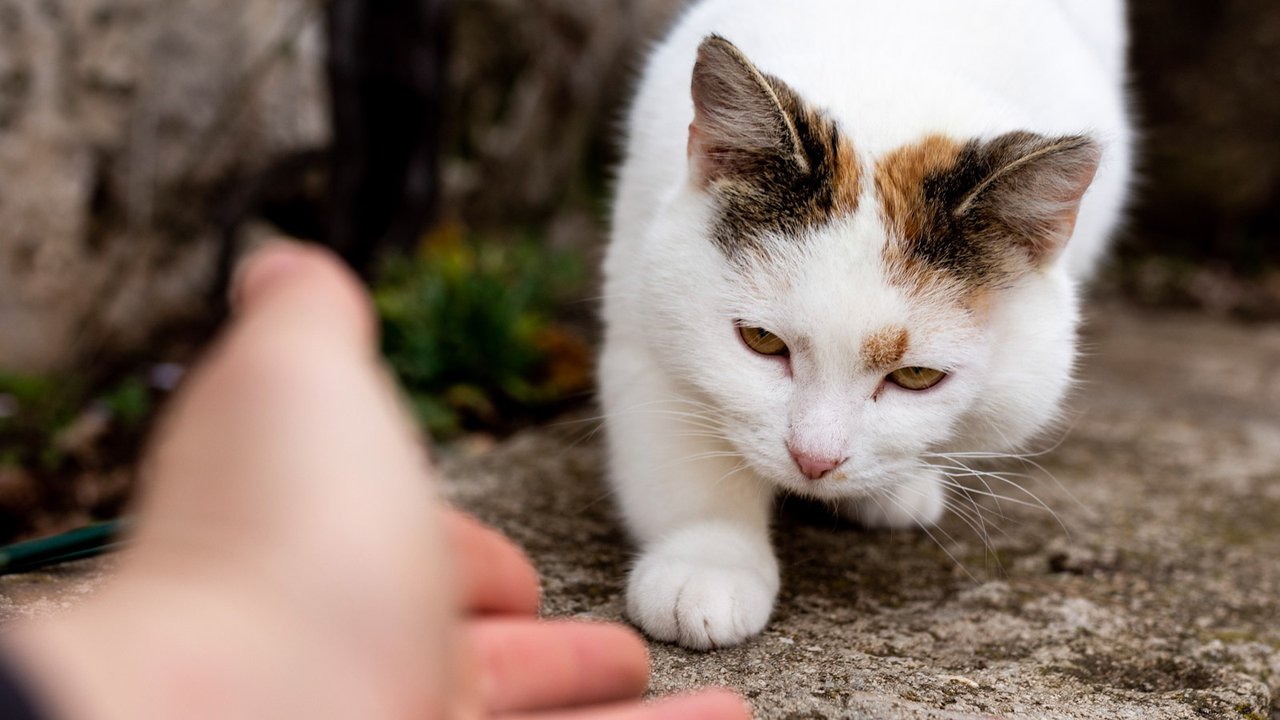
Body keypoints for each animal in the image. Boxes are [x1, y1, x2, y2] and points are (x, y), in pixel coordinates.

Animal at [599, 0, 1131, 648]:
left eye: (917, 376)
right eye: (761, 341)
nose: (813, 461)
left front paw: (896, 486)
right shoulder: (639, 302)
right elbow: (685, 457)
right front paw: (706, 562)